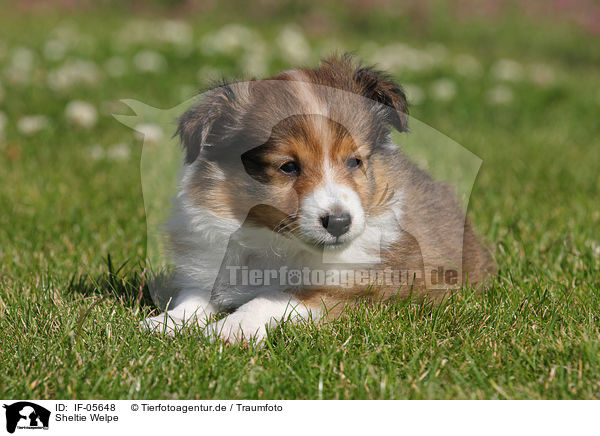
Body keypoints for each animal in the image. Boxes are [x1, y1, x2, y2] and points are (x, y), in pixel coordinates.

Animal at [143, 54, 494, 342]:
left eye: (354, 161)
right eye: (288, 166)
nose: (339, 222)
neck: (274, 243)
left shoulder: (368, 291)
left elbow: (275, 297)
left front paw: (231, 329)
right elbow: (194, 295)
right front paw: (165, 323)